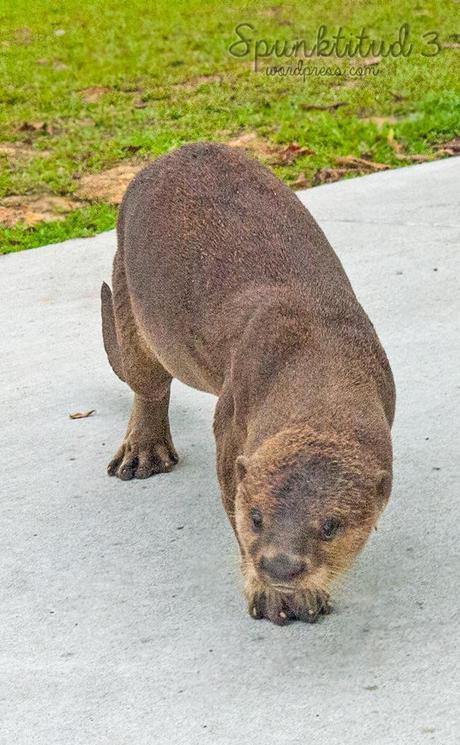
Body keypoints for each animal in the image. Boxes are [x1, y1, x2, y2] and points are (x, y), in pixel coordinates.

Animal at [101, 142, 395, 626]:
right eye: (255, 516)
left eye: (330, 526)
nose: (280, 565)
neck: (314, 349)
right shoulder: (233, 417)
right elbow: (227, 487)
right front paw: (276, 596)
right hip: (130, 289)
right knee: (148, 382)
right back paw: (143, 454)